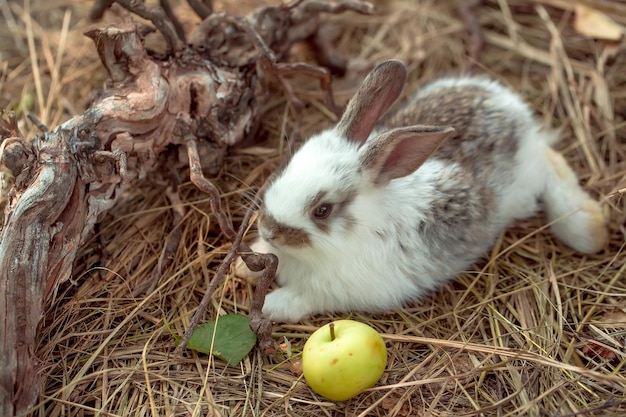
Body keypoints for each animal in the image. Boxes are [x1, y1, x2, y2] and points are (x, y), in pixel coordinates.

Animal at [236, 59, 608, 322]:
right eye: (287, 166)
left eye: (322, 210)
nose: (268, 230)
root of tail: (514, 108)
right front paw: (244, 264)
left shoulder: (337, 291)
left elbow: (303, 299)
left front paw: (270, 305)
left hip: (528, 184)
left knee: (551, 162)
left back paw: (590, 228)